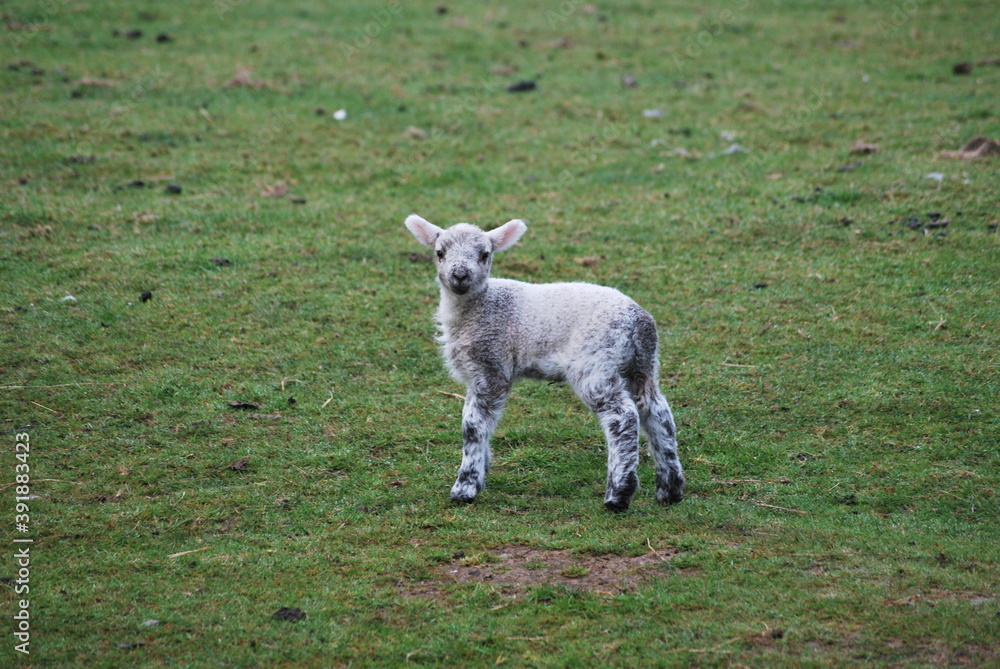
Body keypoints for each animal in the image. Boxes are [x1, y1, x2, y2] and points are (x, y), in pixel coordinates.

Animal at [405, 214, 684, 512]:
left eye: (484, 255)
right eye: (440, 253)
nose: (460, 276)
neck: (479, 306)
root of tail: (638, 321)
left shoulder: (492, 366)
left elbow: (473, 426)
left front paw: (466, 486)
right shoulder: (477, 373)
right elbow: (483, 425)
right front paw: (483, 469)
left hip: (596, 362)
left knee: (623, 416)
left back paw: (618, 494)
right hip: (642, 364)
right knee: (657, 412)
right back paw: (670, 489)